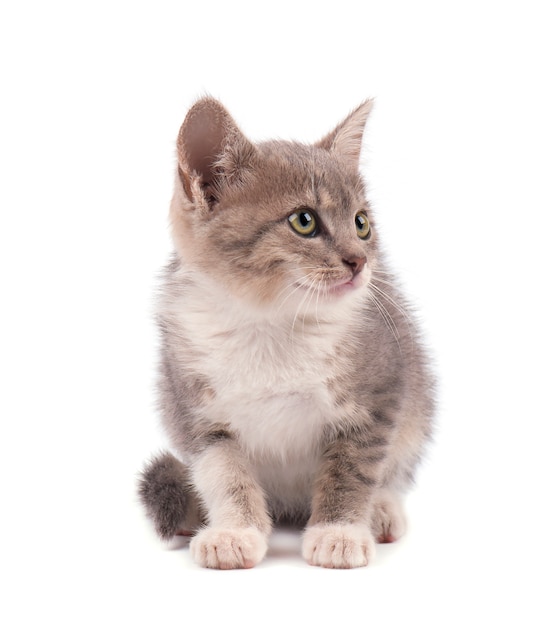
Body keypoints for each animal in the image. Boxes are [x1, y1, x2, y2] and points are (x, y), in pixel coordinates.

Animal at [137, 96, 432, 564]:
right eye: (304, 221)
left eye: (361, 223)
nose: (360, 261)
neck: (271, 322)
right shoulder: (189, 401)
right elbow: (222, 470)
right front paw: (234, 531)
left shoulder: (380, 389)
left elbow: (353, 467)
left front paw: (339, 532)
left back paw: (383, 510)